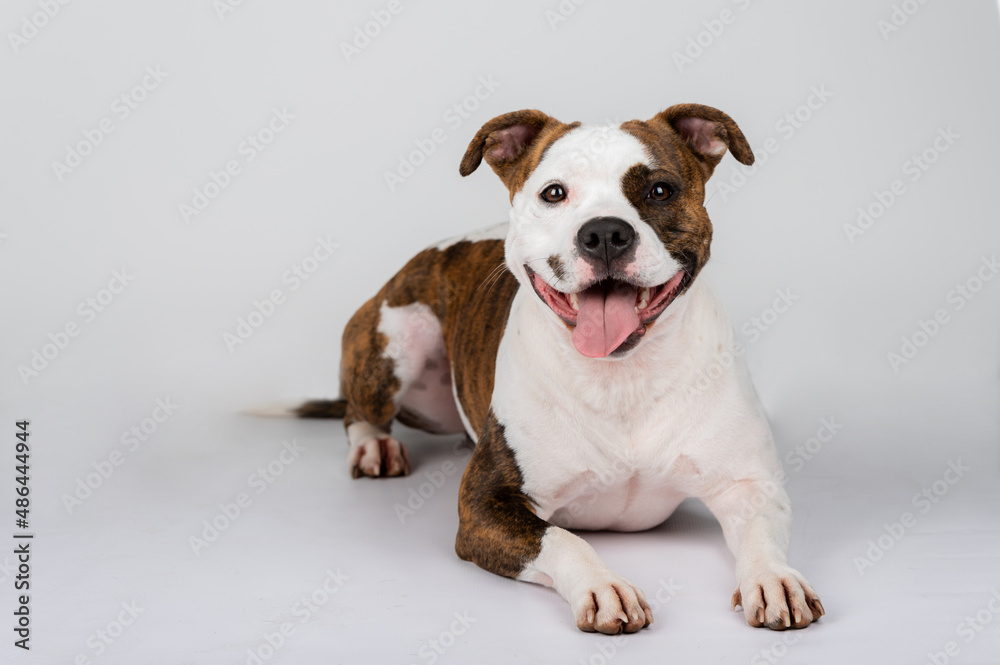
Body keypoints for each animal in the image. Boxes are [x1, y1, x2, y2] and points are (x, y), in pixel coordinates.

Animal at [286, 104, 824, 632]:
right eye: (554, 193)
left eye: (660, 190)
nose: (605, 232)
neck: (620, 376)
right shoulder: (486, 505)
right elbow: (563, 538)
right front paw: (603, 587)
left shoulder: (750, 485)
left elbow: (761, 535)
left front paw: (774, 579)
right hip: (393, 344)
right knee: (359, 411)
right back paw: (374, 447)